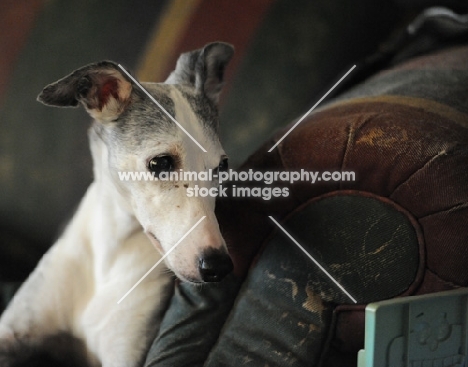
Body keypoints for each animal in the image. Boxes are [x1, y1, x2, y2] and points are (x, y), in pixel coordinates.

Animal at [0, 41, 234, 366]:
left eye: (222, 166)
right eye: (160, 162)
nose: (218, 267)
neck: (110, 254)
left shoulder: (124, 352)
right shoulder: (12, 330)